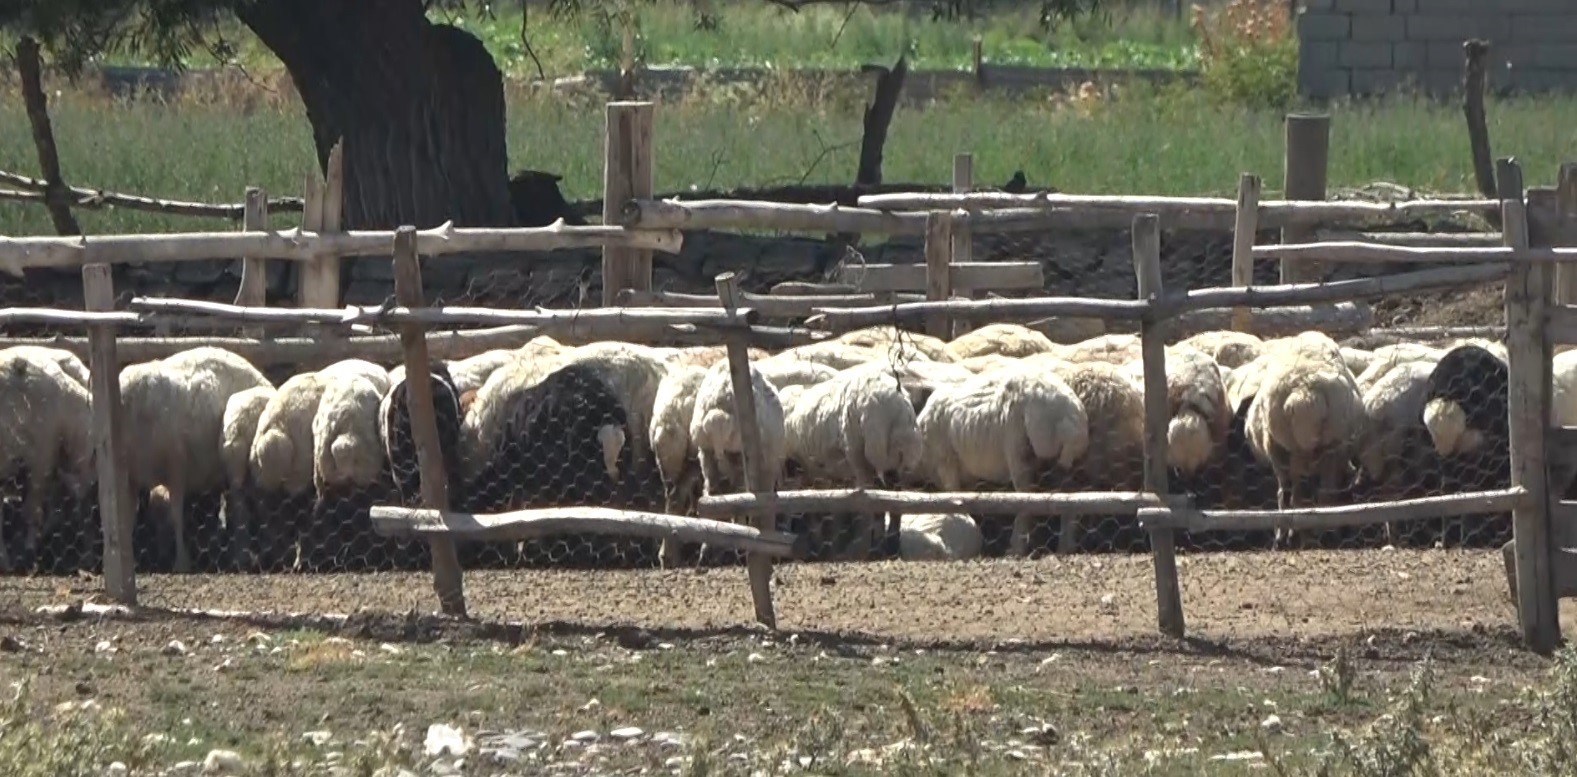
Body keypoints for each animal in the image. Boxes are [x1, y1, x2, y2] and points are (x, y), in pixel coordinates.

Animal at [920, 365, 1091, 554]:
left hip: (1020, 451)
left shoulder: (945, 461)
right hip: (1063, 463)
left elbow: (954, 494)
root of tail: (1071, 418)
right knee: (1068, 500)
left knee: (1027, 500)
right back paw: (1065, 546)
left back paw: (1017, 548)